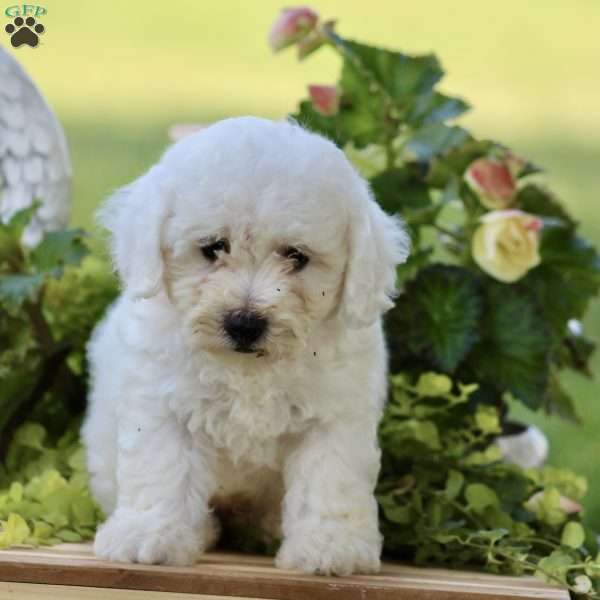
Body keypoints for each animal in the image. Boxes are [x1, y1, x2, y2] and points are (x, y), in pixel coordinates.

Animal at [82, 117, 410, 576]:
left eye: (297, 256)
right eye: (213, 248)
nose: (244, 322)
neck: (251, 368)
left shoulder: (334, 415)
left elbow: (330, 478)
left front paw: (330, 545)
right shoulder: (162, 403)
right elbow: (162, 466)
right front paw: (150, 535)